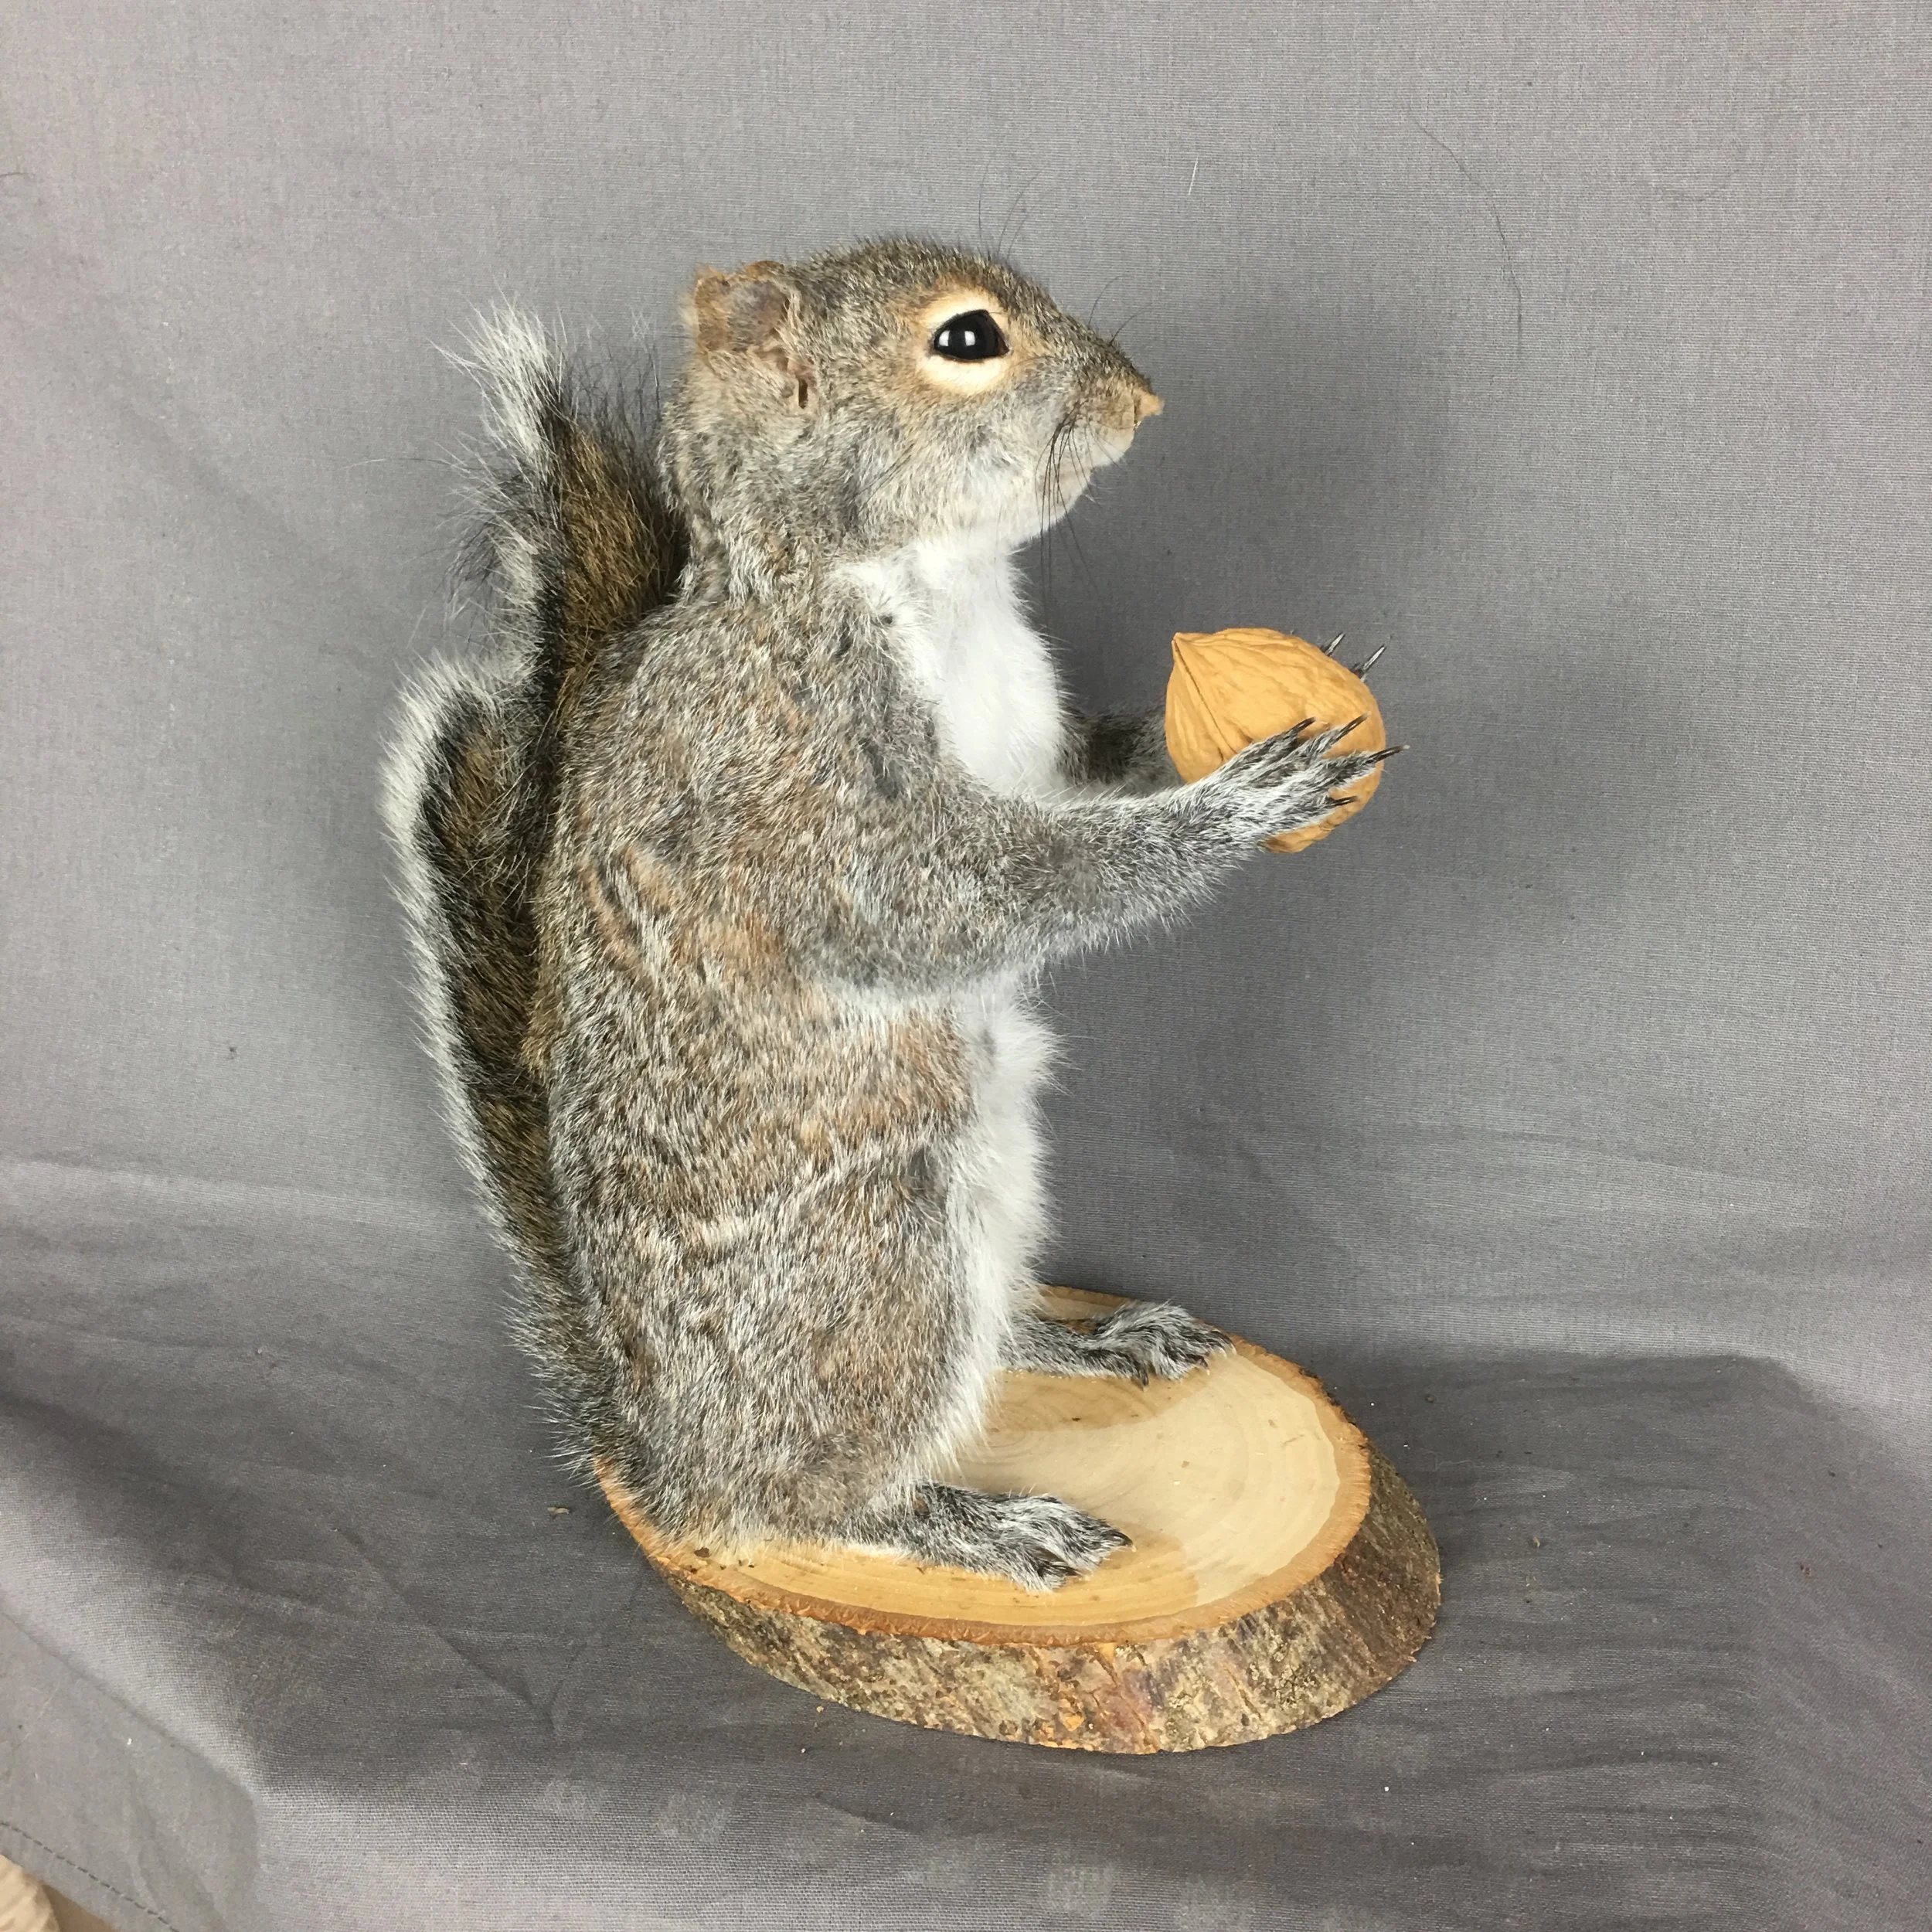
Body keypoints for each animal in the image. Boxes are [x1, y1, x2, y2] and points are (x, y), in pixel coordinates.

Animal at [382, 239, 1394, 1590]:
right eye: (966, 341)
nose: (1142, 401)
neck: (932, 583)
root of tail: (672, 1461)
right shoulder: (802, 780)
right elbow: (958, 897)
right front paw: (1232, 806)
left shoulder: (1034, 753)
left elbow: (1080, 784)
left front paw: (1194, 740)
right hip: (882, 1265)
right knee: (811, 1500)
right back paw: (964, 1522)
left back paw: (1085, 1343)